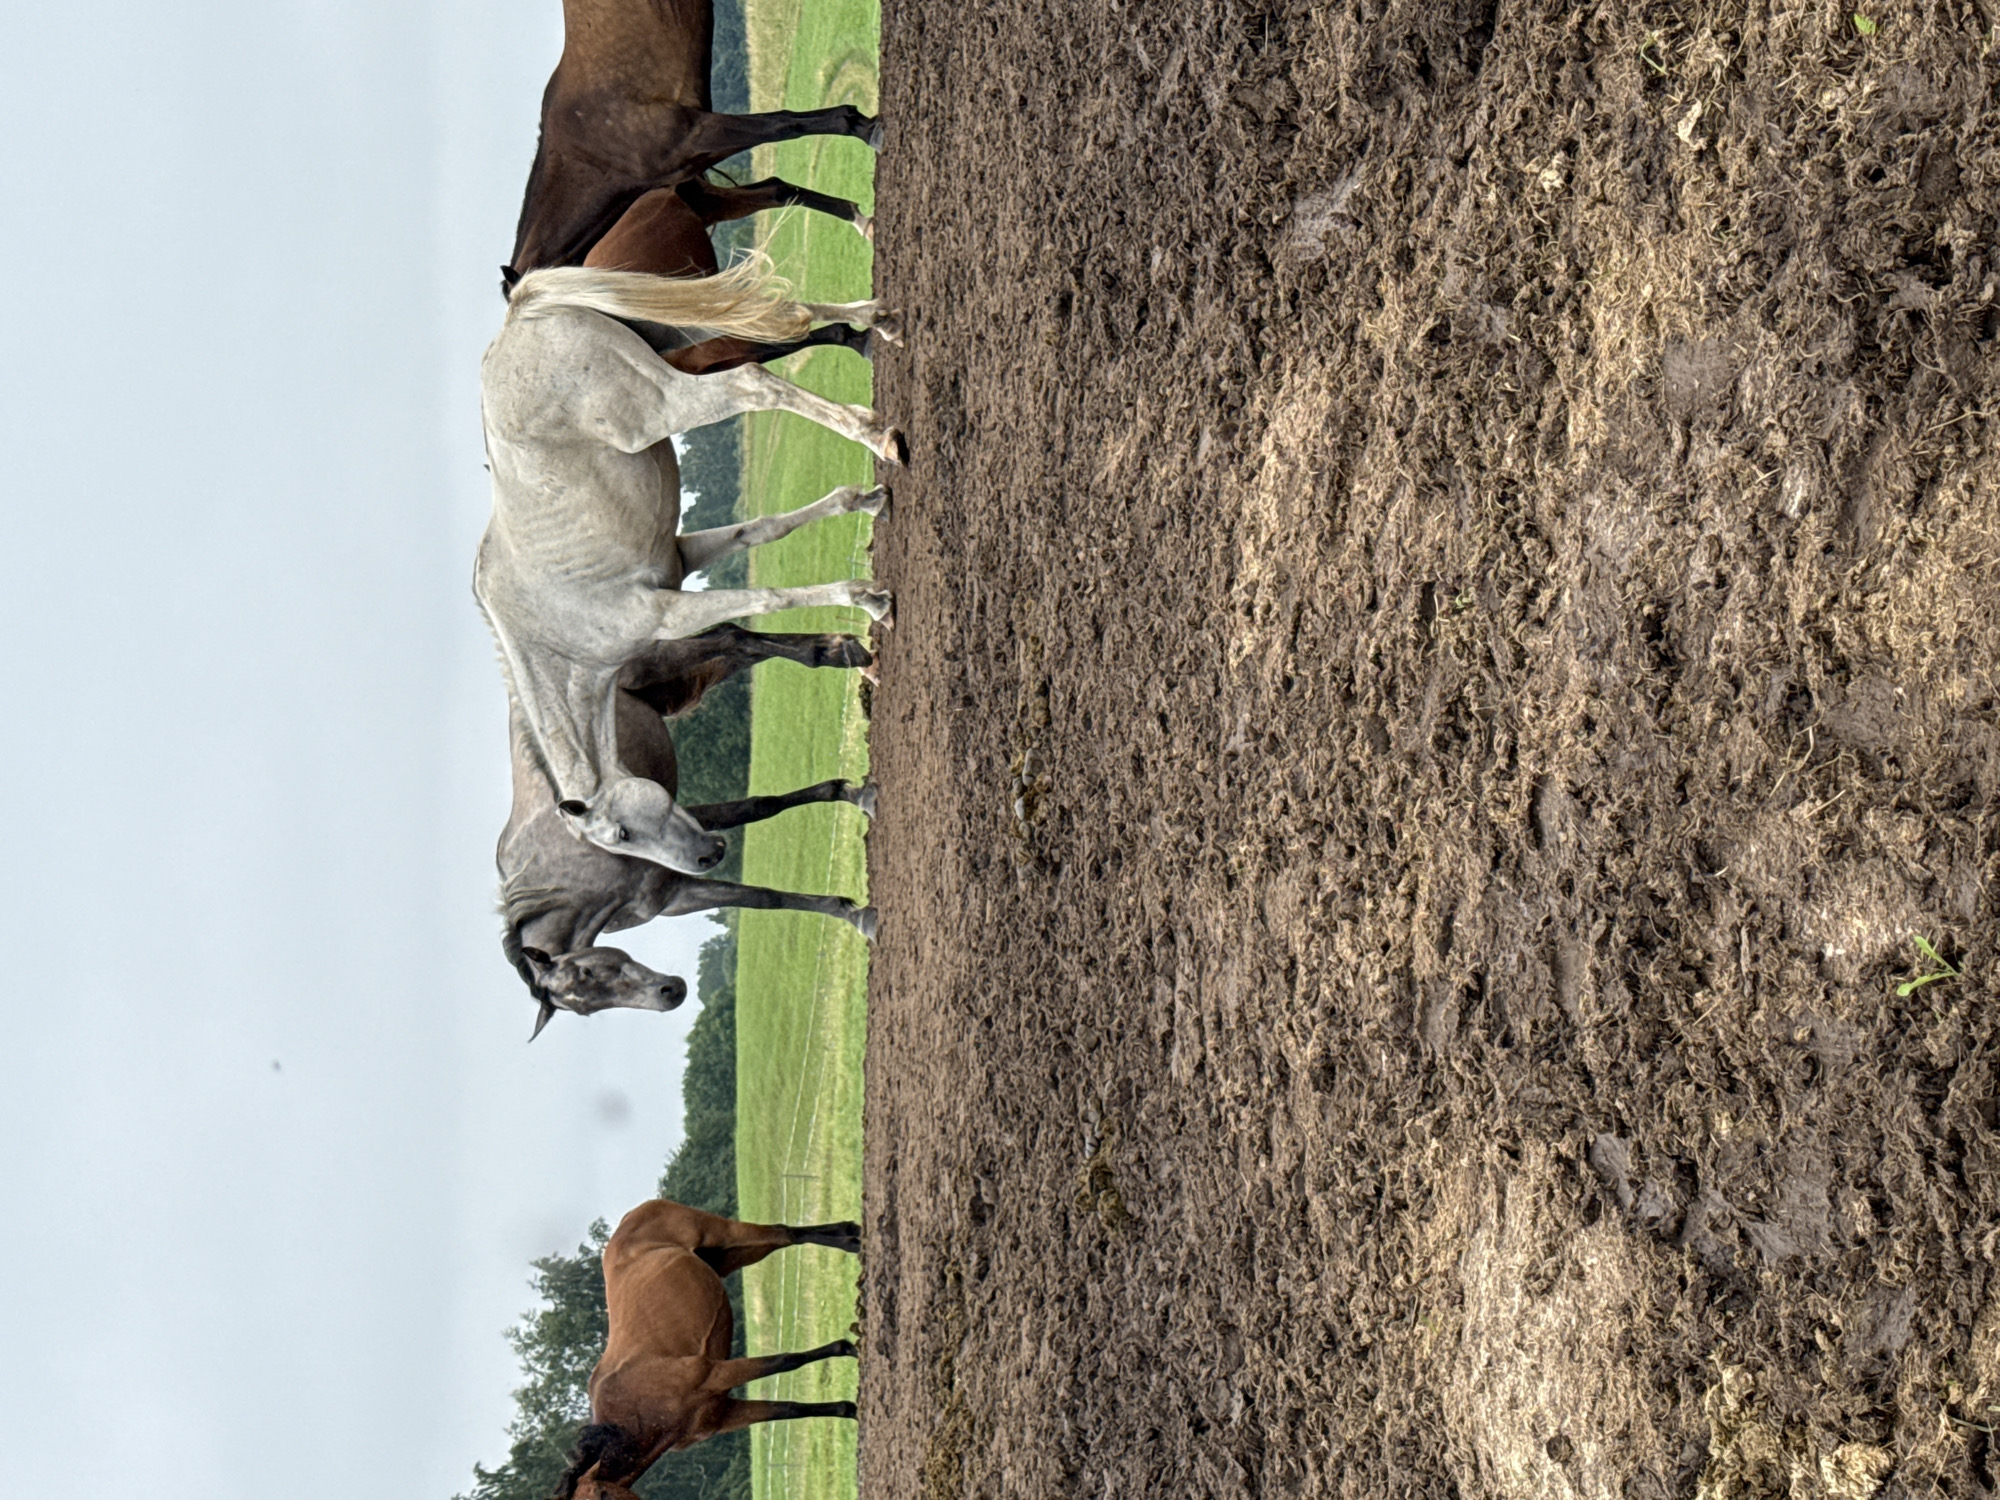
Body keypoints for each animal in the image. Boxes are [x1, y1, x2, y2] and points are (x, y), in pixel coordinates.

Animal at [476, 262, 899, 873]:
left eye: (622, 834)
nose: (706, 857)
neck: (555, 635)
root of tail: (518, 317)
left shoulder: (668, 613)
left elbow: (767, 598)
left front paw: (866, 597)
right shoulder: (683, 558)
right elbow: (765, 530)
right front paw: (859, 503)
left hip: (662, 401)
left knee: (753, 381)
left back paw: (874, 432)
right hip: (678, 336)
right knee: (788, 312)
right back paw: (878, 324)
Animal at [503, 621, 885, 1039]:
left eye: (587, 971)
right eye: (586, 1008)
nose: (670, 993)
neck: (577, 872)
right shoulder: (678, 893)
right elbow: (765, 887)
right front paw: (851, 799)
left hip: (653, 666)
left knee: (732, 639)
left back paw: (837, 652)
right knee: (734, 644)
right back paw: (837, 649)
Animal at [510, 0, 884, 280]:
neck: (589, 150)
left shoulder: (696, 134)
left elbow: (785, 125)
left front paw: (867, 128)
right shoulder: (699, 192)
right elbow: (778, 190)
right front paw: (862, 221)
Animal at [551, 1198, 861, 1500]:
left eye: (603, 1494)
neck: (638, 1407)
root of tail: (634, 1214)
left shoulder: (715, 1374)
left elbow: (786, 1361)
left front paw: (848, 1348)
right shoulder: (724, 1415)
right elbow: (788, 1409)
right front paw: (850, 1409)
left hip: (725, 1235)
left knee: (785, 1234)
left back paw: (852, 1242)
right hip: (731, 1255)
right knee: (786, 1236)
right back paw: (851, 1231)